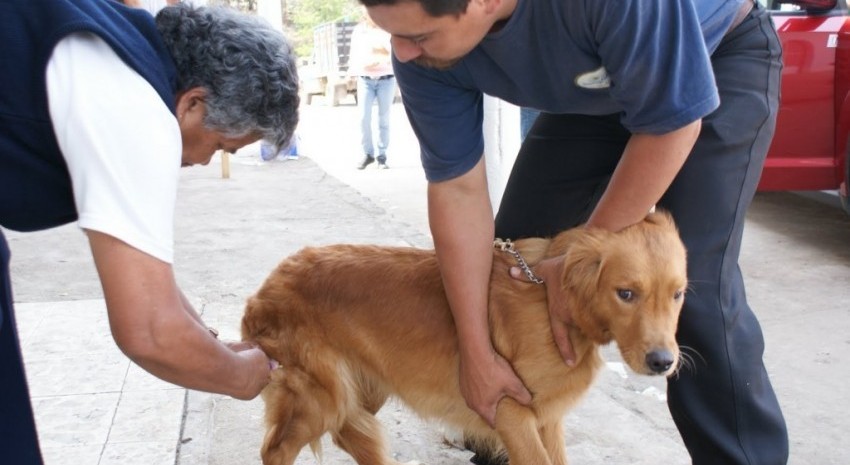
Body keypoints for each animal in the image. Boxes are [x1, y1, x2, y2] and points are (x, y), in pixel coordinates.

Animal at [240, 210, 688, 464]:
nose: (663, 362)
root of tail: (265, 288)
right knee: (275, 450)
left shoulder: (548, 420)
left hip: (364, 390)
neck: (553, 299)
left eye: (678, 294)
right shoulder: (511, 412)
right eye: (625, 293)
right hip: (320, 397)